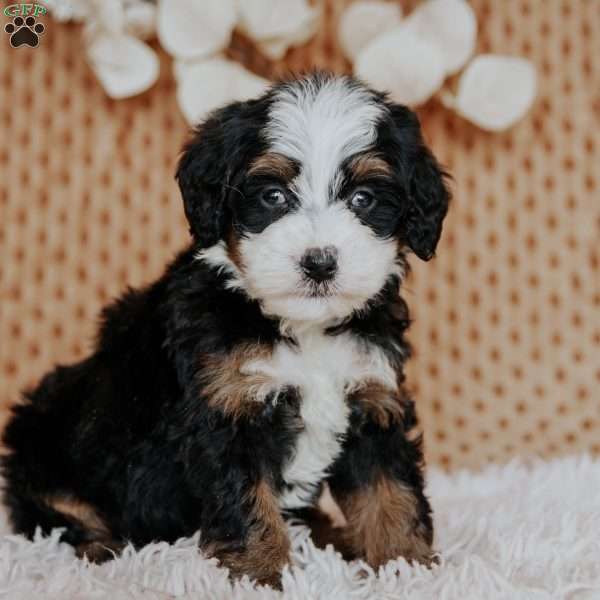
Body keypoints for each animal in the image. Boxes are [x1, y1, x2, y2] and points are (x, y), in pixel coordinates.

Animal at [1, 72, 450, 588]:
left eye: (364, 199)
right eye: (272, 196)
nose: (319, 262)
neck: (303, 328)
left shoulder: (373, 396)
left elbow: (390, 492)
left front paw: (406, 567)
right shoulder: (227, 408)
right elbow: (248, 503)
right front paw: (262, 575)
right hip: (46, 431)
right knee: (59, 514)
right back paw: (102, 548)